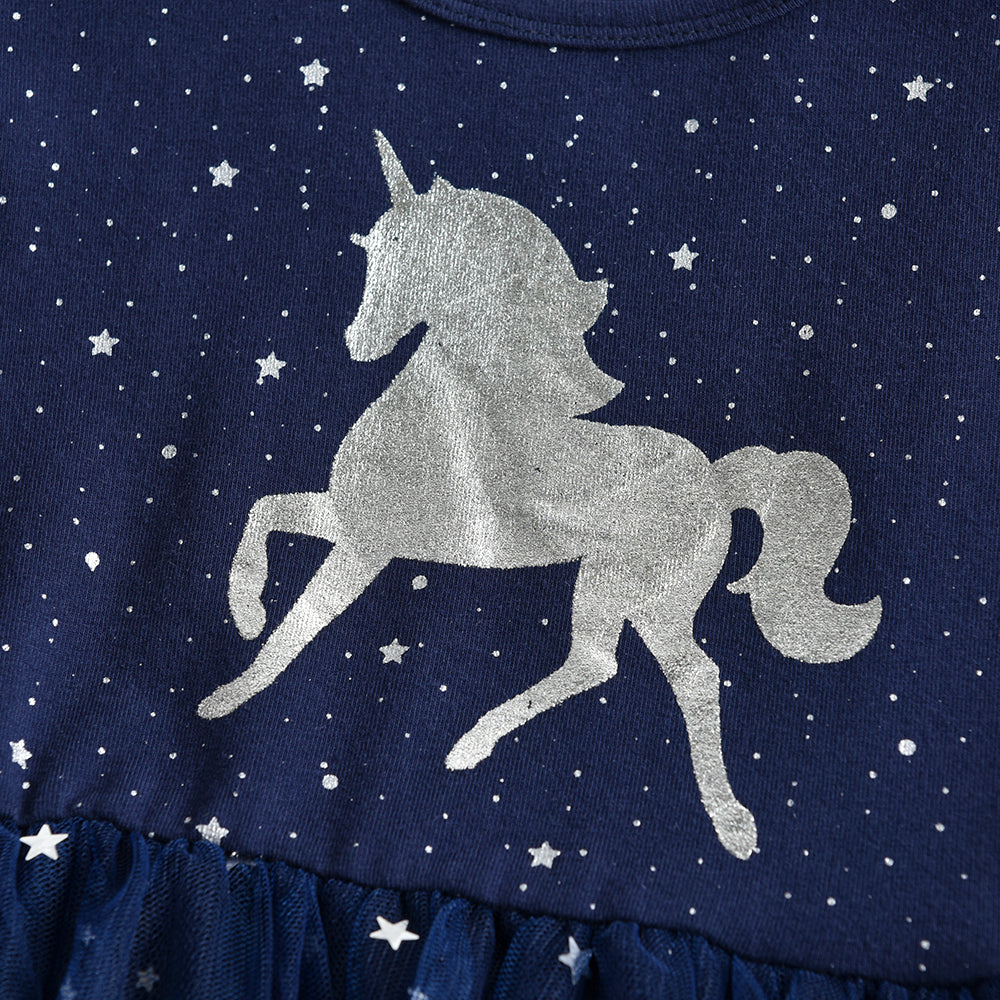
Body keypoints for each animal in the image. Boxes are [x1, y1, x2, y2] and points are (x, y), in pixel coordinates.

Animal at [197, 130, 882, 859]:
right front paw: (240, 635)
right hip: (656, 605)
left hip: (617, 585)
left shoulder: (367, 542)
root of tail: (718, 487)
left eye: (405, 249)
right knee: (684, 674)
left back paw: (473, 745)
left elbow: (301, 617)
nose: (358, 343)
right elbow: (265, 519)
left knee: (603, 663)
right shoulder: (353, 524)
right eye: (370, 245)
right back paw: (728, 820)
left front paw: (233, 673)